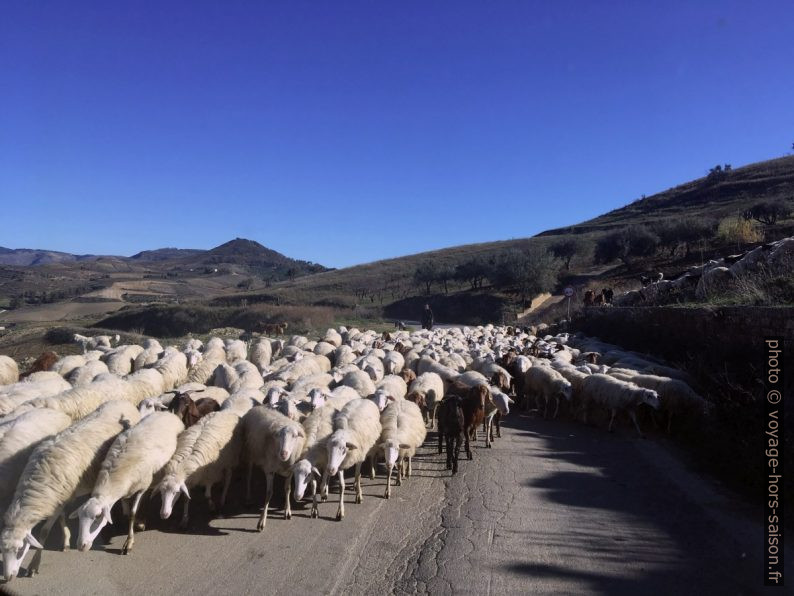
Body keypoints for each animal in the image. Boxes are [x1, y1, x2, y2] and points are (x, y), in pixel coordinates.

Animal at [74, 410, 183, 556]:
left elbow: (132, 513)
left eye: (97, 516)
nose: (81, 546)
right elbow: (126, 513)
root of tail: (167, 412)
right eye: (79, 517)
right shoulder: (125, 491)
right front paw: (139, 524)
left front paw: (129, 541)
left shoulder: (142, 487)